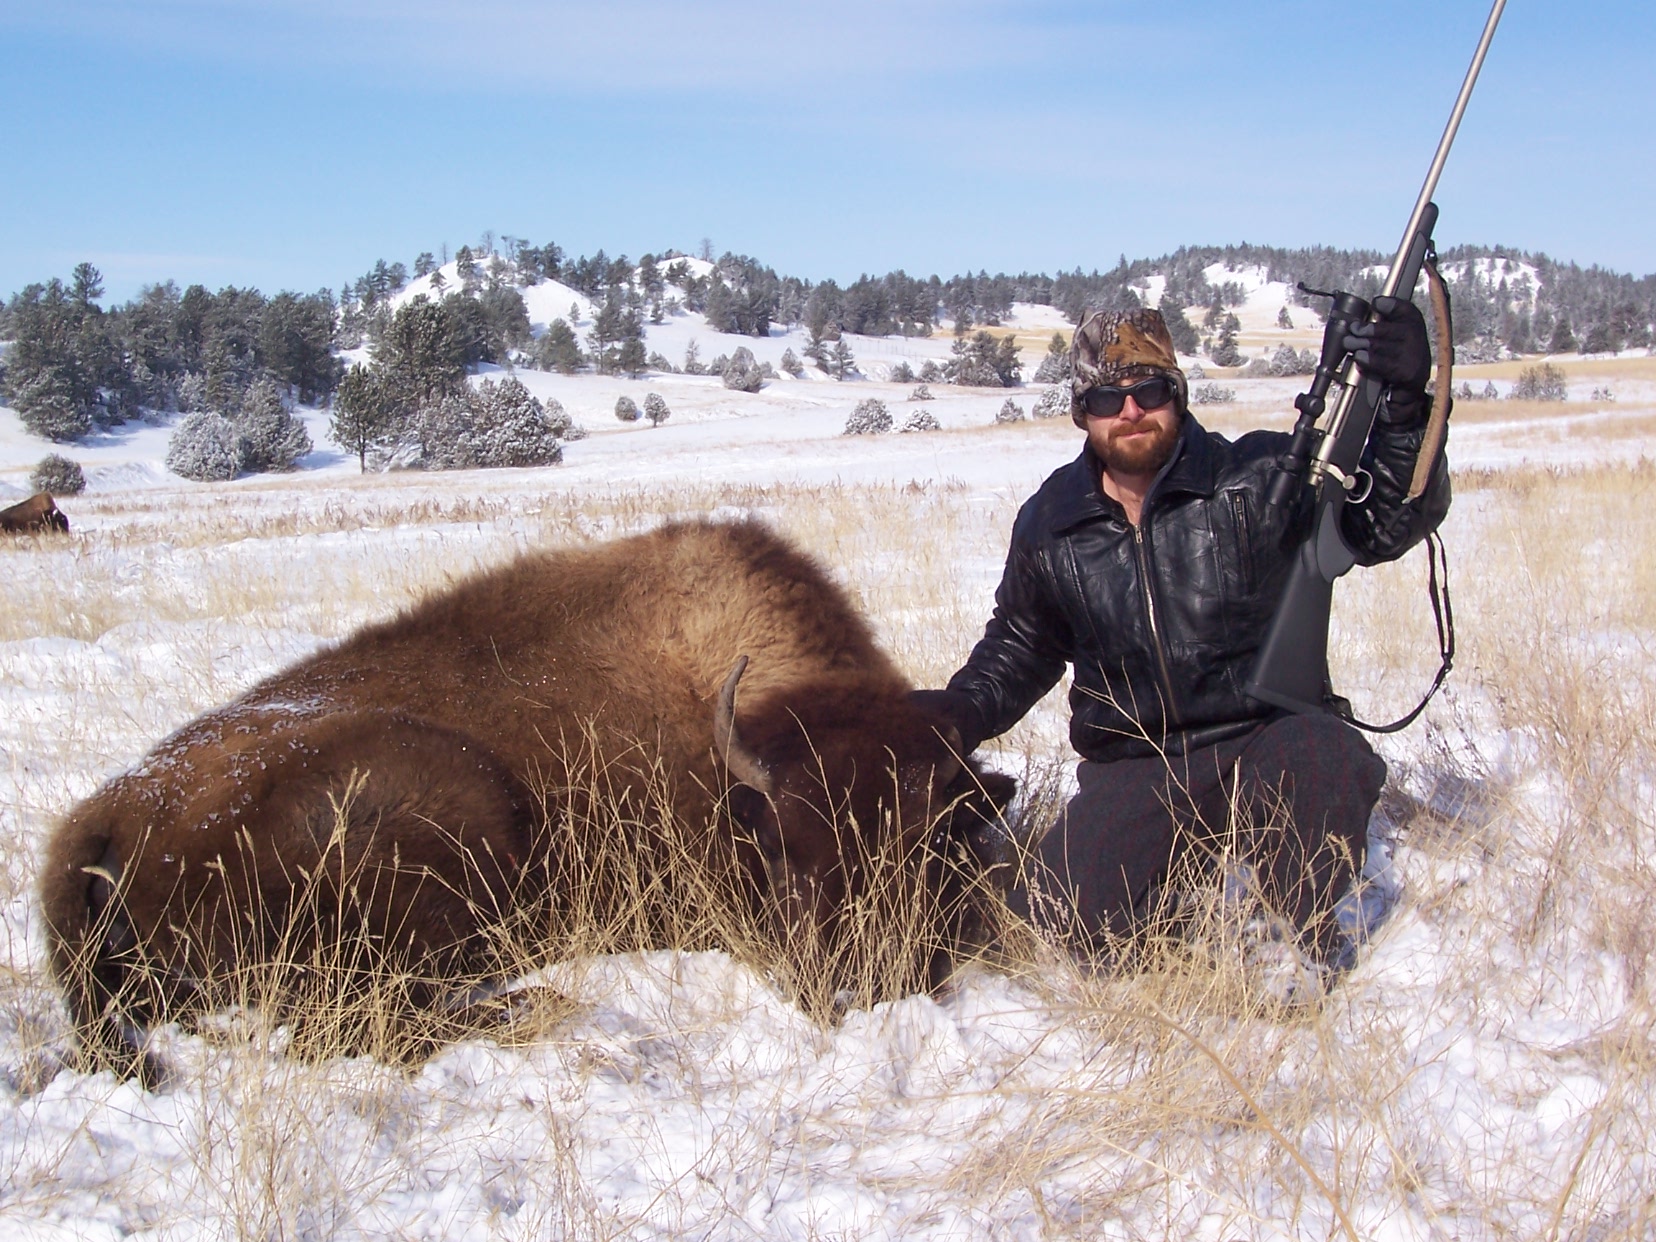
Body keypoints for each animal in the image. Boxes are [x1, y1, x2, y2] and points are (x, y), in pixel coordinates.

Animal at [41, 519, 1015, 1075]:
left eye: (930, 842)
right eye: (778, 849)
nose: (862, 991)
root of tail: (104, 816)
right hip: (463, 815)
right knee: (352, 1027)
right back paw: (547, 1005)